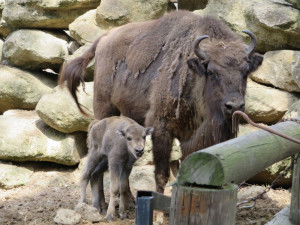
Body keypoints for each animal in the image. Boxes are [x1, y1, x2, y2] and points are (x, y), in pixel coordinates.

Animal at [59, 10, 264, 193]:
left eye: (245, 71)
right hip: (105, 109)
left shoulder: (193, 138)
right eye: (212, 72)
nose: (235, 106)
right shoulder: (161, 129)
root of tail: (104, 38)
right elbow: (162, 173)